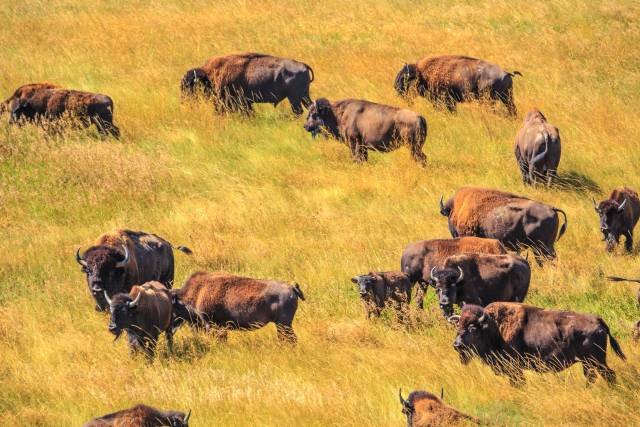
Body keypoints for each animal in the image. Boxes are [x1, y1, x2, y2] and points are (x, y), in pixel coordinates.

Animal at [179, 52, 314, 115]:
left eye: (190, 85)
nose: (183, 100)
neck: (210, 74)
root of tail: (303, 65)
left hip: (294, 98)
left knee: (298, 111)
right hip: (303, 96)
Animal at [450, 302, 624, 386]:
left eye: (472, 329)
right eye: (458, 327)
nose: (456, 345)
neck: (494, 328)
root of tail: (599, 321)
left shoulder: (514, 370)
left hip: (596, 361)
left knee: (608, 375)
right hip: (588, 363)